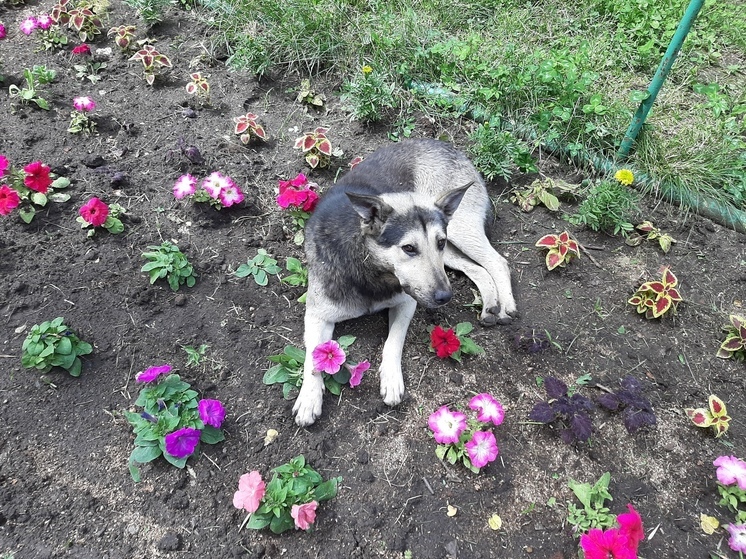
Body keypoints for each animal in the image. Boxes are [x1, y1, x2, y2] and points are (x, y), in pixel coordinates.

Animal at [294, 138, 516, 426]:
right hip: (452, 247)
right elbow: (313, 357)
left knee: (497, 261)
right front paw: (309, 398)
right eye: (409, 248)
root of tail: (450, 147)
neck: (371, 269)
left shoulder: (408, 302)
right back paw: (490, 304)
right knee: (478, 268)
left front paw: (391, 379)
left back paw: (506, 304)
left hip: (457, 233)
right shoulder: (317, 314)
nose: (445, 297)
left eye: (437, 242)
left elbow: (393, 342)